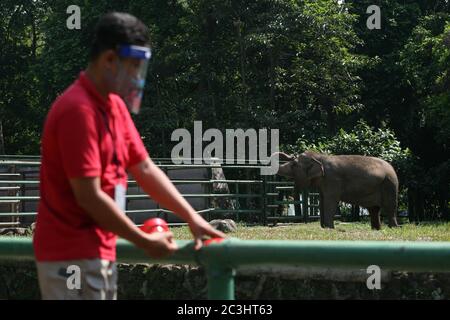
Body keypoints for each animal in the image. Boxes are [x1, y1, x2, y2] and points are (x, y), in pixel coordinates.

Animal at [272, 151, 400, 229]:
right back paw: (376, 229)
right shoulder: (324, 183)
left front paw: (329, 228)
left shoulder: (332, 180)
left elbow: (330, 201)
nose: (291, 156)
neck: (320, 157)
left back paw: (393, 228)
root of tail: (392, 168)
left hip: (389, 184)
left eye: (294, 164)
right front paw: (324, 227)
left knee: (390, 207)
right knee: (374, 209)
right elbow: (323, 200)